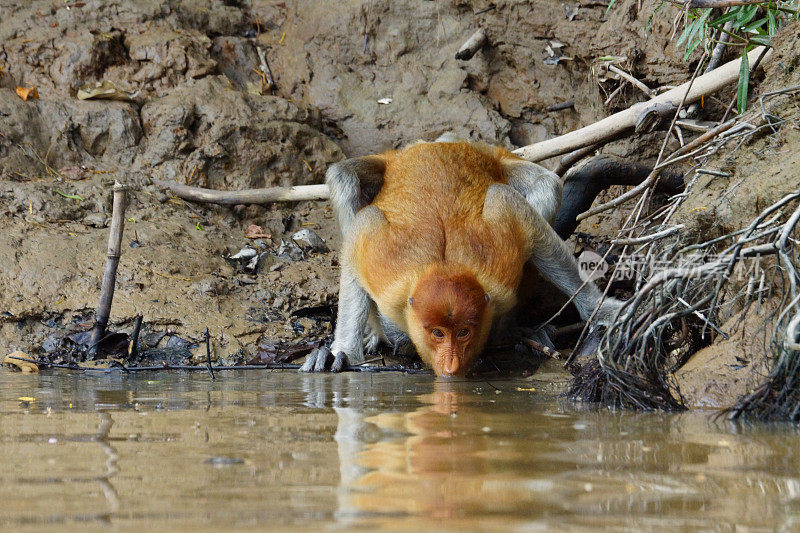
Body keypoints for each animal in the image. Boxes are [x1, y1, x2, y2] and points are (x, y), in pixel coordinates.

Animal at [304, 137, 620, 378]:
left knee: (546, 184)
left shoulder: (501, 250)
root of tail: (437, 143)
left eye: (464, 332)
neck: (444, 266)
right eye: (438, 334)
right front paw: (342, 353)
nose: (452, 362)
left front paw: (604, 311)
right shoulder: (380, 258)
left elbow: (529, 225)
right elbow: (361, 231)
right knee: (344, 177)